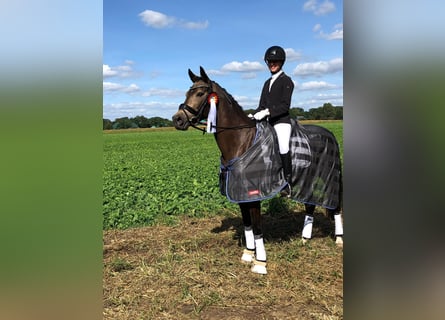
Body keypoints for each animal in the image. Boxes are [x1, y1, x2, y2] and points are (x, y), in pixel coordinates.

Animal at [171, 66, 344, 274]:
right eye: (187, 93)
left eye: (199, 93)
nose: (177, 120)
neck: (241, 141)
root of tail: (330, 134)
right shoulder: (240, 193)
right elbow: (247, 225)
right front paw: (248, 254)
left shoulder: (253, 195)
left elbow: (257, 227)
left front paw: (260, 262)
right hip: (308, 180)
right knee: (310, 204)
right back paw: (304, 239)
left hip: (330, 178)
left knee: (335, 206)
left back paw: (339, 239)